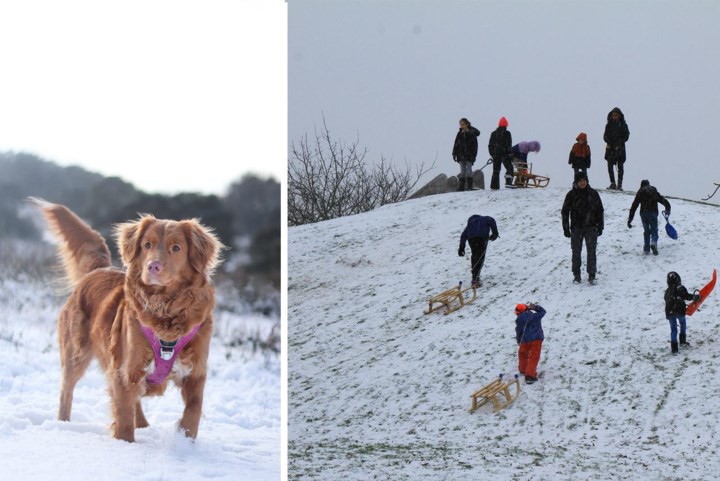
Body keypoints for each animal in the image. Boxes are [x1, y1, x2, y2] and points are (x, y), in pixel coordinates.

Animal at [32, 199, 222, 442]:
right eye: (147, 245)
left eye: (176, 248)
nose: (153, 266)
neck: (165, 309)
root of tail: (99, 268)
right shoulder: (125, 370)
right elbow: (123, 416)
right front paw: (126, 446)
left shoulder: (196, 374)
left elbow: (193, 412)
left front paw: (186, 442)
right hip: (76, 352)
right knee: (66, 391)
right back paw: (63, 423)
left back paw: (143, 426)